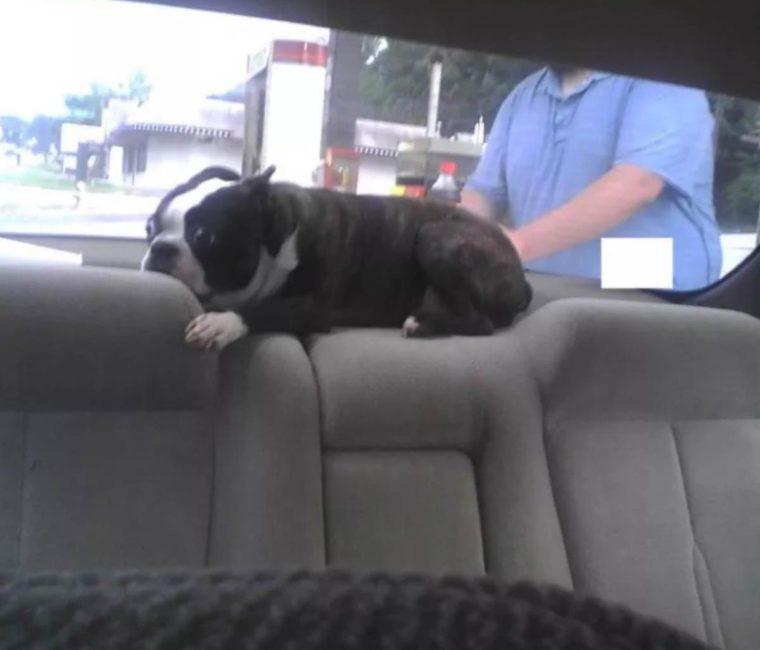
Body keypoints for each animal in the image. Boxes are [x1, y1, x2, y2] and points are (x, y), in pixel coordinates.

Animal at [142, 166, 532, 351]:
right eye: (149, 227)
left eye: (204, 237)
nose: (160, 249)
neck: (277, 234)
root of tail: (521, 277)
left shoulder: (312, 307)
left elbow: (265, 308)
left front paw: (221, 323)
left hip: (436, 238)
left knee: (481, 322)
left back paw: (422, 324)